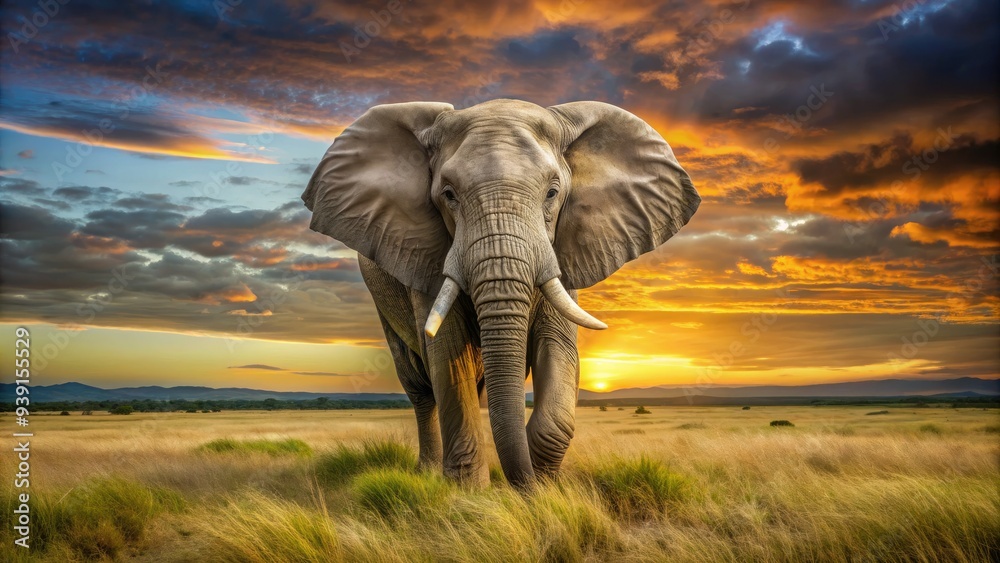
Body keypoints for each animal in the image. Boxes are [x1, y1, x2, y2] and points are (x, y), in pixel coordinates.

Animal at [302, 99, 699, 488]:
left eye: (552, 193)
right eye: (448, 195)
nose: (524, 486)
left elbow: (557, 347)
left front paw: (543, 486)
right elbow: (447, 356)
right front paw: (470, 493)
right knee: (420, 387)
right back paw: (427, 473)